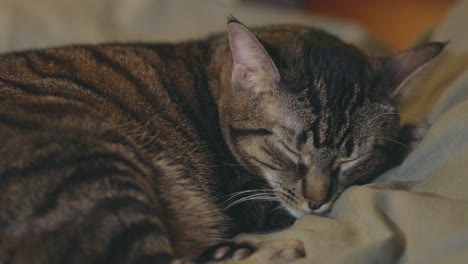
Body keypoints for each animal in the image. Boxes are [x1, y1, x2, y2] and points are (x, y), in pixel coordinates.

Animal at [0, 17, 444, 262]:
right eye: (290, 147)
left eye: (349, 158)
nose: (317, 202)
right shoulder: (248, 204)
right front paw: (413, 133)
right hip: (95, 166)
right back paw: (272, 252)